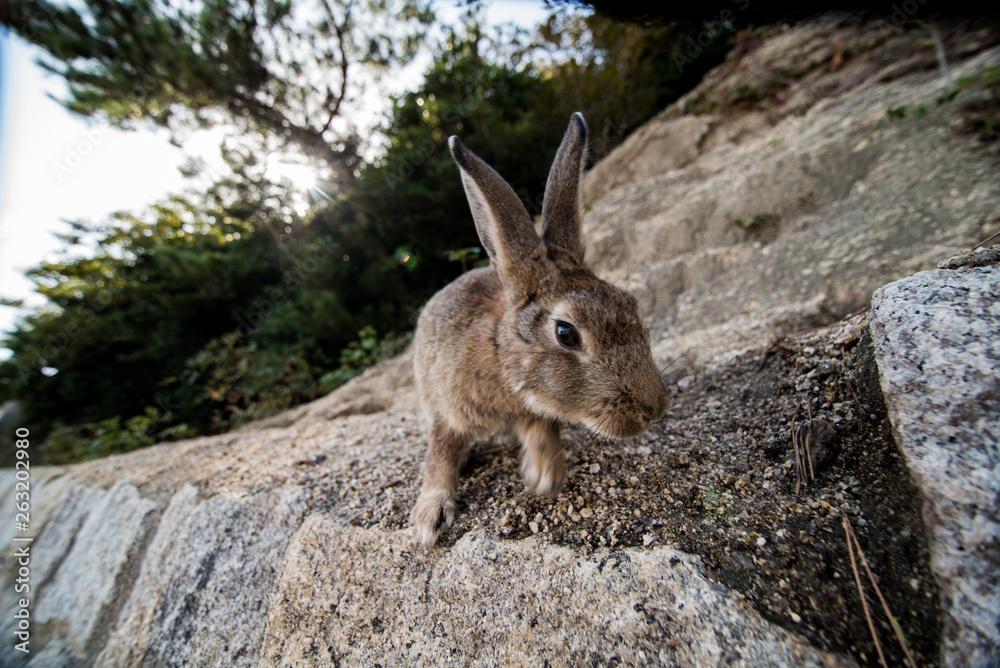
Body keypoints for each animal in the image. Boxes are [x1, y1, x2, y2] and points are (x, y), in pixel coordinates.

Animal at [410, 113, 669, 546]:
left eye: (630, 303)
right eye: (566, 333)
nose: (653, 410)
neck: (500, 356)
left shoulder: (534, 405)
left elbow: (541, 425)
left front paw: (546, 473)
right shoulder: (448, 409)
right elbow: (440, 452)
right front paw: (429, 517)